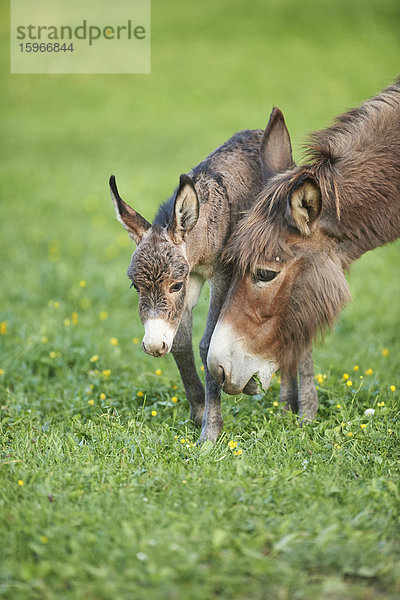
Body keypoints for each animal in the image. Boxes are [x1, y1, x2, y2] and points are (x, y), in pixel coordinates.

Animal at [109, 115, 316, 440]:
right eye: (135, 286)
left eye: (174, 285)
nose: (153, 346)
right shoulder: (193, 276)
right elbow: (181, 343)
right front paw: (197, 412)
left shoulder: (222, 273)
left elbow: (207, 344)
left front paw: (210, 433)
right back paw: (283, 406)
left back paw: (303, 414)